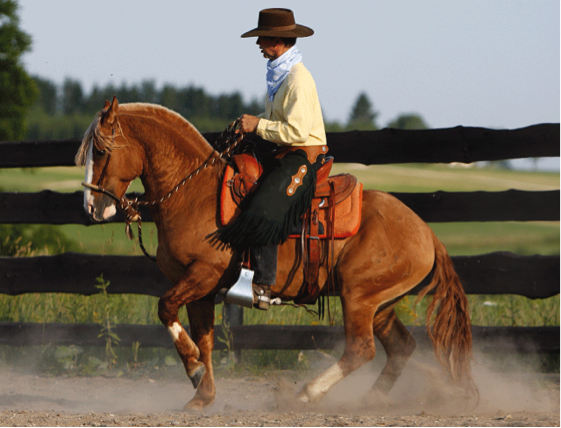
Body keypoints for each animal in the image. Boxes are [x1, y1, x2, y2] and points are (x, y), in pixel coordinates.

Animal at [76, 97, 474, 412]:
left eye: (102, 151)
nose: (92, 207)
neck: (194, 194)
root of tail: (427, 233)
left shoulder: (203, 274)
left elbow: (165, 309)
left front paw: (193, 369)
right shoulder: (199, 289)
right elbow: (205, 338)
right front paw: (203, 393)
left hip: (359, 296)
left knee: (361, 349)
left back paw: (306, 394)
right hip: (380, 303)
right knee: (401, 347)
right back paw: (371, 399)